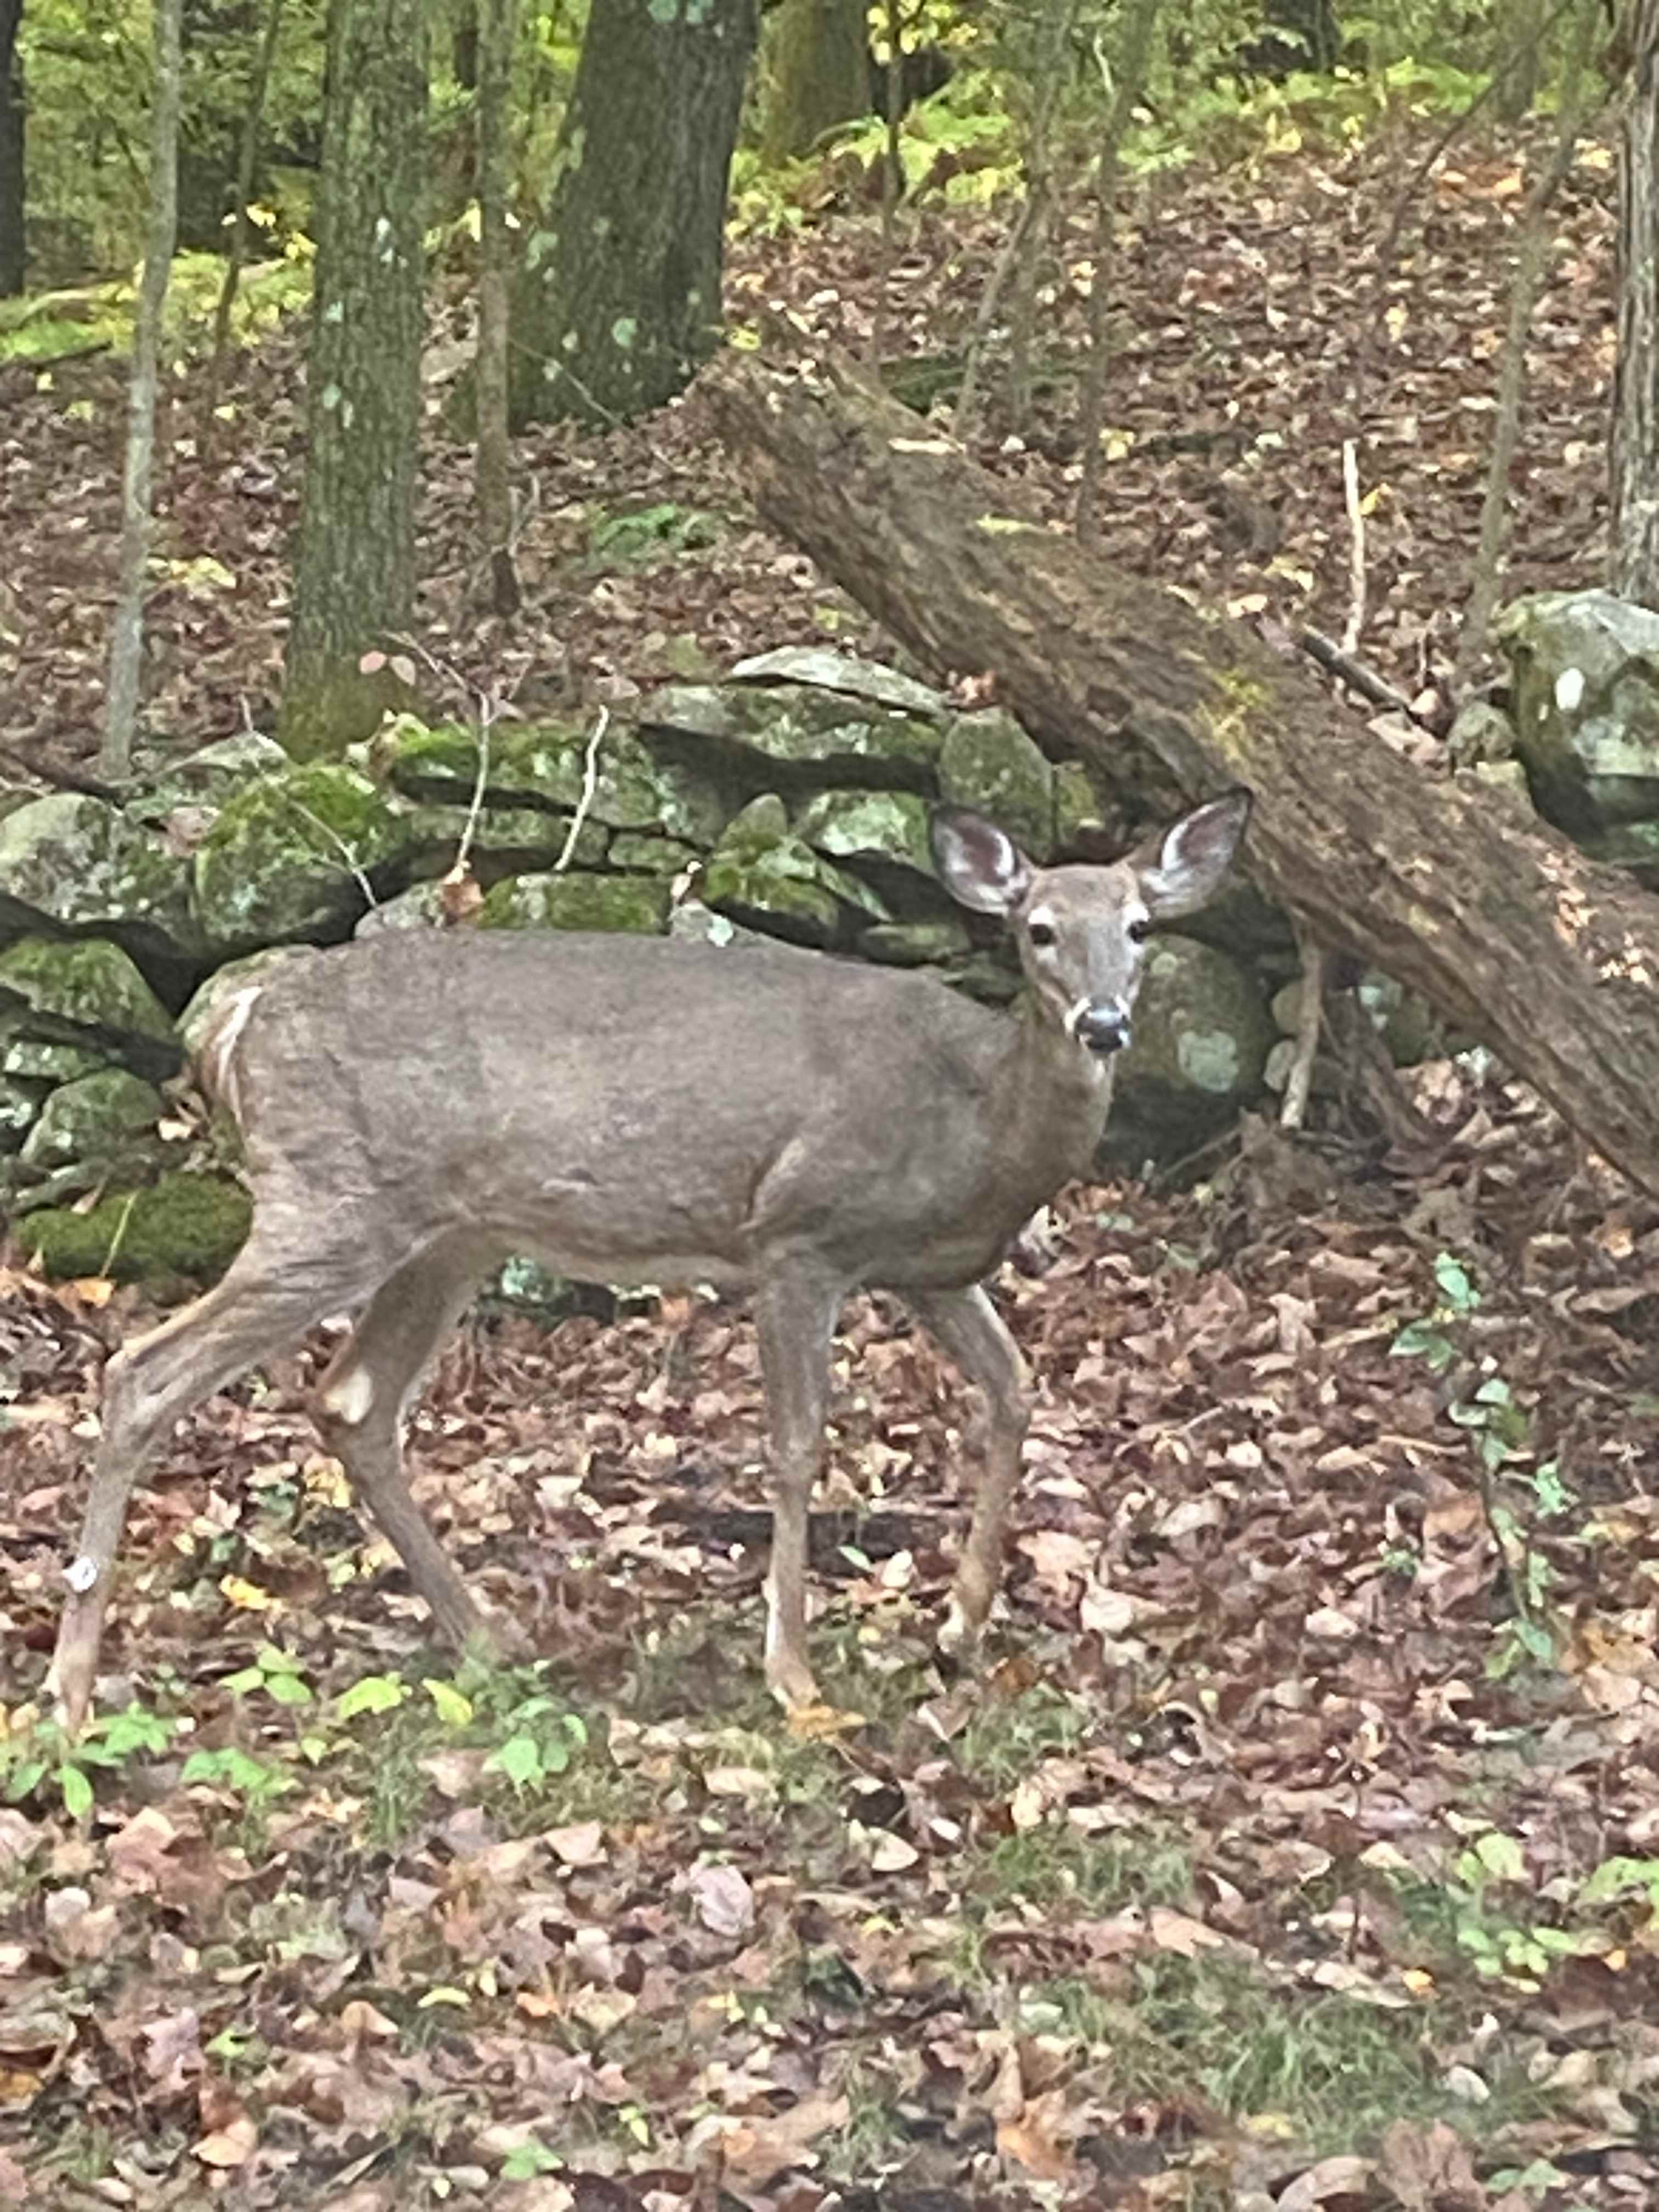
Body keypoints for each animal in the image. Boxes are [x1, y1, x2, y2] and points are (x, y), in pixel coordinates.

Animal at [47, 789, 1251, 1731]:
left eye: (1138, 927)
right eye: (1038, 930)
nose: (1103, 1025)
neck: (976, 1122)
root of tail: (238, 1013)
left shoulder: (930, 1268)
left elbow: (1014, 1389)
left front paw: (958, 1620)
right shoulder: (797, 1233)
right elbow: (796, 1447)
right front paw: (792, 1673)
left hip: (446, 1233)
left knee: (350, 1400)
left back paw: (488, 1634)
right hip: (329, 1202)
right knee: (143, 1371)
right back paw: (69, 1686)